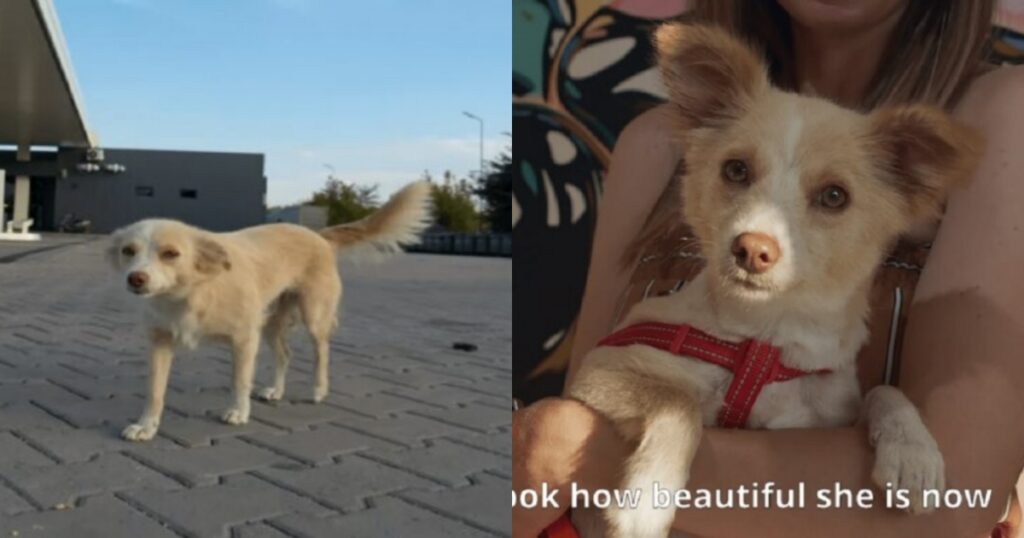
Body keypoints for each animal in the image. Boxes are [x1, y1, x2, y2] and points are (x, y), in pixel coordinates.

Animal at [109, 180, 432, 440]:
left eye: (171, 254)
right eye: (128, 251)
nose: (136, 279)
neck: (190, 294)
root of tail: (319, 235)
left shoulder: (244, 340)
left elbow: (239, 381)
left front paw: (238, 412)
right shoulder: (160, 343)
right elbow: (154, 391)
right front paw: (146, 426)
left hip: (313, 316)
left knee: (322, 351)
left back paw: (319, 389)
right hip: (271, 324)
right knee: (285, 354)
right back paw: (276, 390)